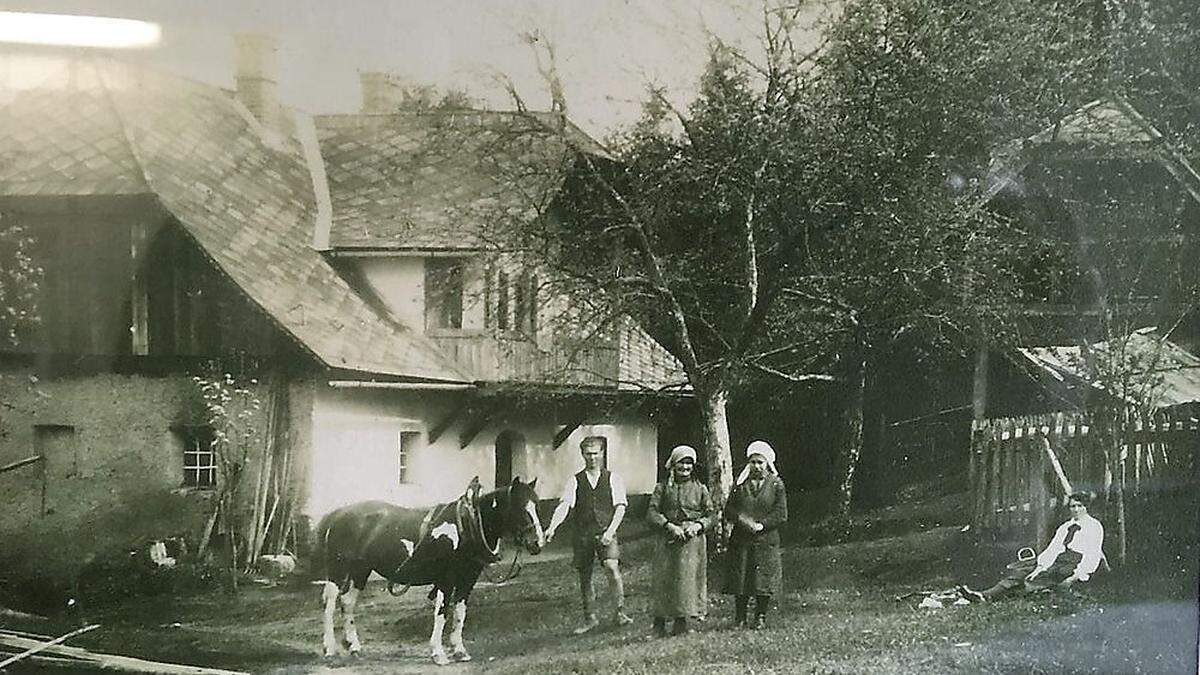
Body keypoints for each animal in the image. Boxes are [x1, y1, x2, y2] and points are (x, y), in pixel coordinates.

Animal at [316, 475, 547, 662]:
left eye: (536, 505)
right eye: (520, 507)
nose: (537, 542)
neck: (466, 526)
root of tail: (337, 515)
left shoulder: (467, 579)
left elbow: (460, 613)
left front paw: (460, 650)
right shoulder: (446, 579)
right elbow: (442, 612)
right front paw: (438, 653)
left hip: (361, 571)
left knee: (348, 603)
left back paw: (354, 646)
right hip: (338, 570)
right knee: (330, 603)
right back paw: (329, 648)